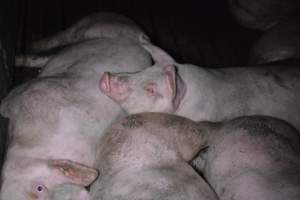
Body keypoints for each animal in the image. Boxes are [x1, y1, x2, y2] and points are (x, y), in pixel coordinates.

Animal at [0, 13, 151, 198]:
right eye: (40, 188)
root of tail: (139, 36)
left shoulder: (27, 92)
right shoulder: (32, 91)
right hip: (93, 27)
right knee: (54, 46)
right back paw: (29, 48)